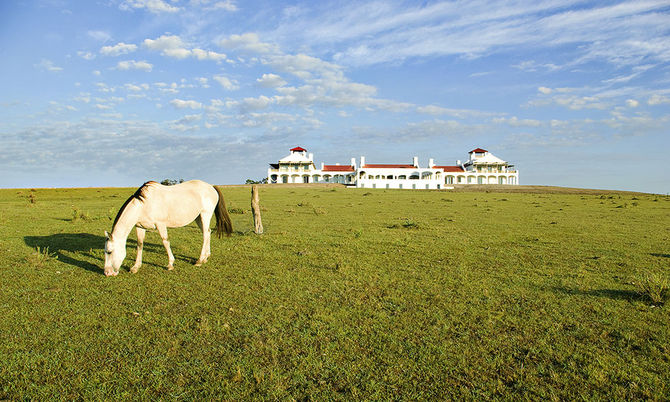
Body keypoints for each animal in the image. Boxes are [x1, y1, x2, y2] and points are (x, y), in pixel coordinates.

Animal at [103, 181, 234, 278]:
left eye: (109, 251)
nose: (107, 273)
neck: (145, 204)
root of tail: (211, 187)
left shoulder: (161, 225)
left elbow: (165, 242)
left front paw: (170, 264)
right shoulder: (140, 227)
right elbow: (139, 245)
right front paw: (136, 267)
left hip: (205, 215)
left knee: (205, 235)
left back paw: (199, 260)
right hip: (198, 218)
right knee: (207, 233)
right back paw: (206, 256)